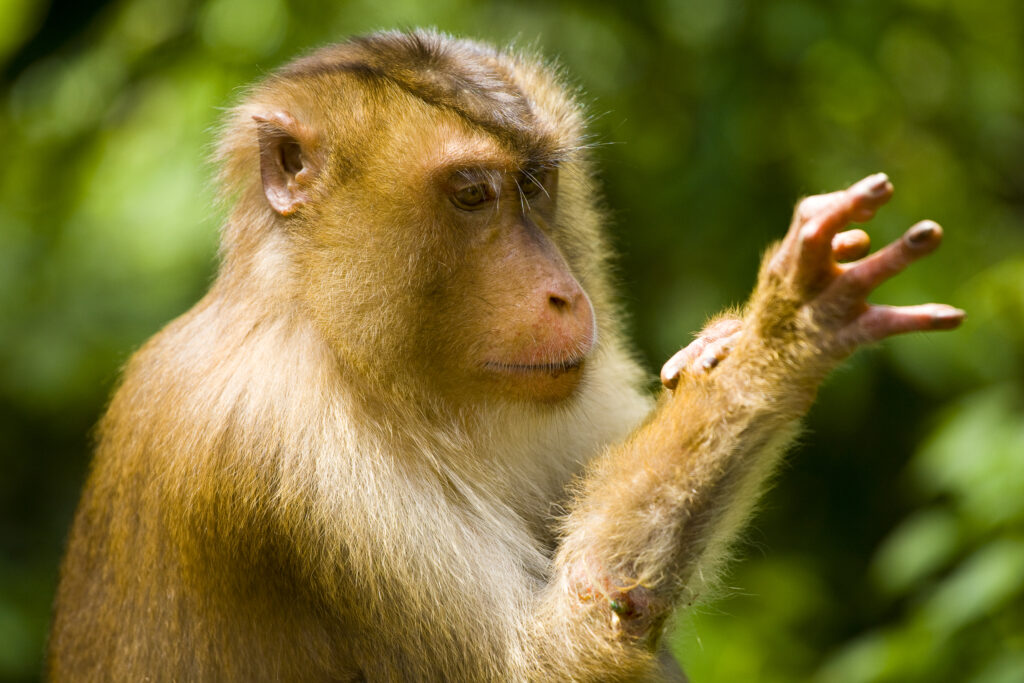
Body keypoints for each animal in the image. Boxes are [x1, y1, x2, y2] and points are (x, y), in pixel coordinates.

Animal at [47, 30, 964, 682]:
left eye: (536, 184)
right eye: (473, 194)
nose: (563, 292)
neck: (336, 337)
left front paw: (728, 356)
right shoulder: (285, 450)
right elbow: (557, 654)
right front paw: (782, 341)